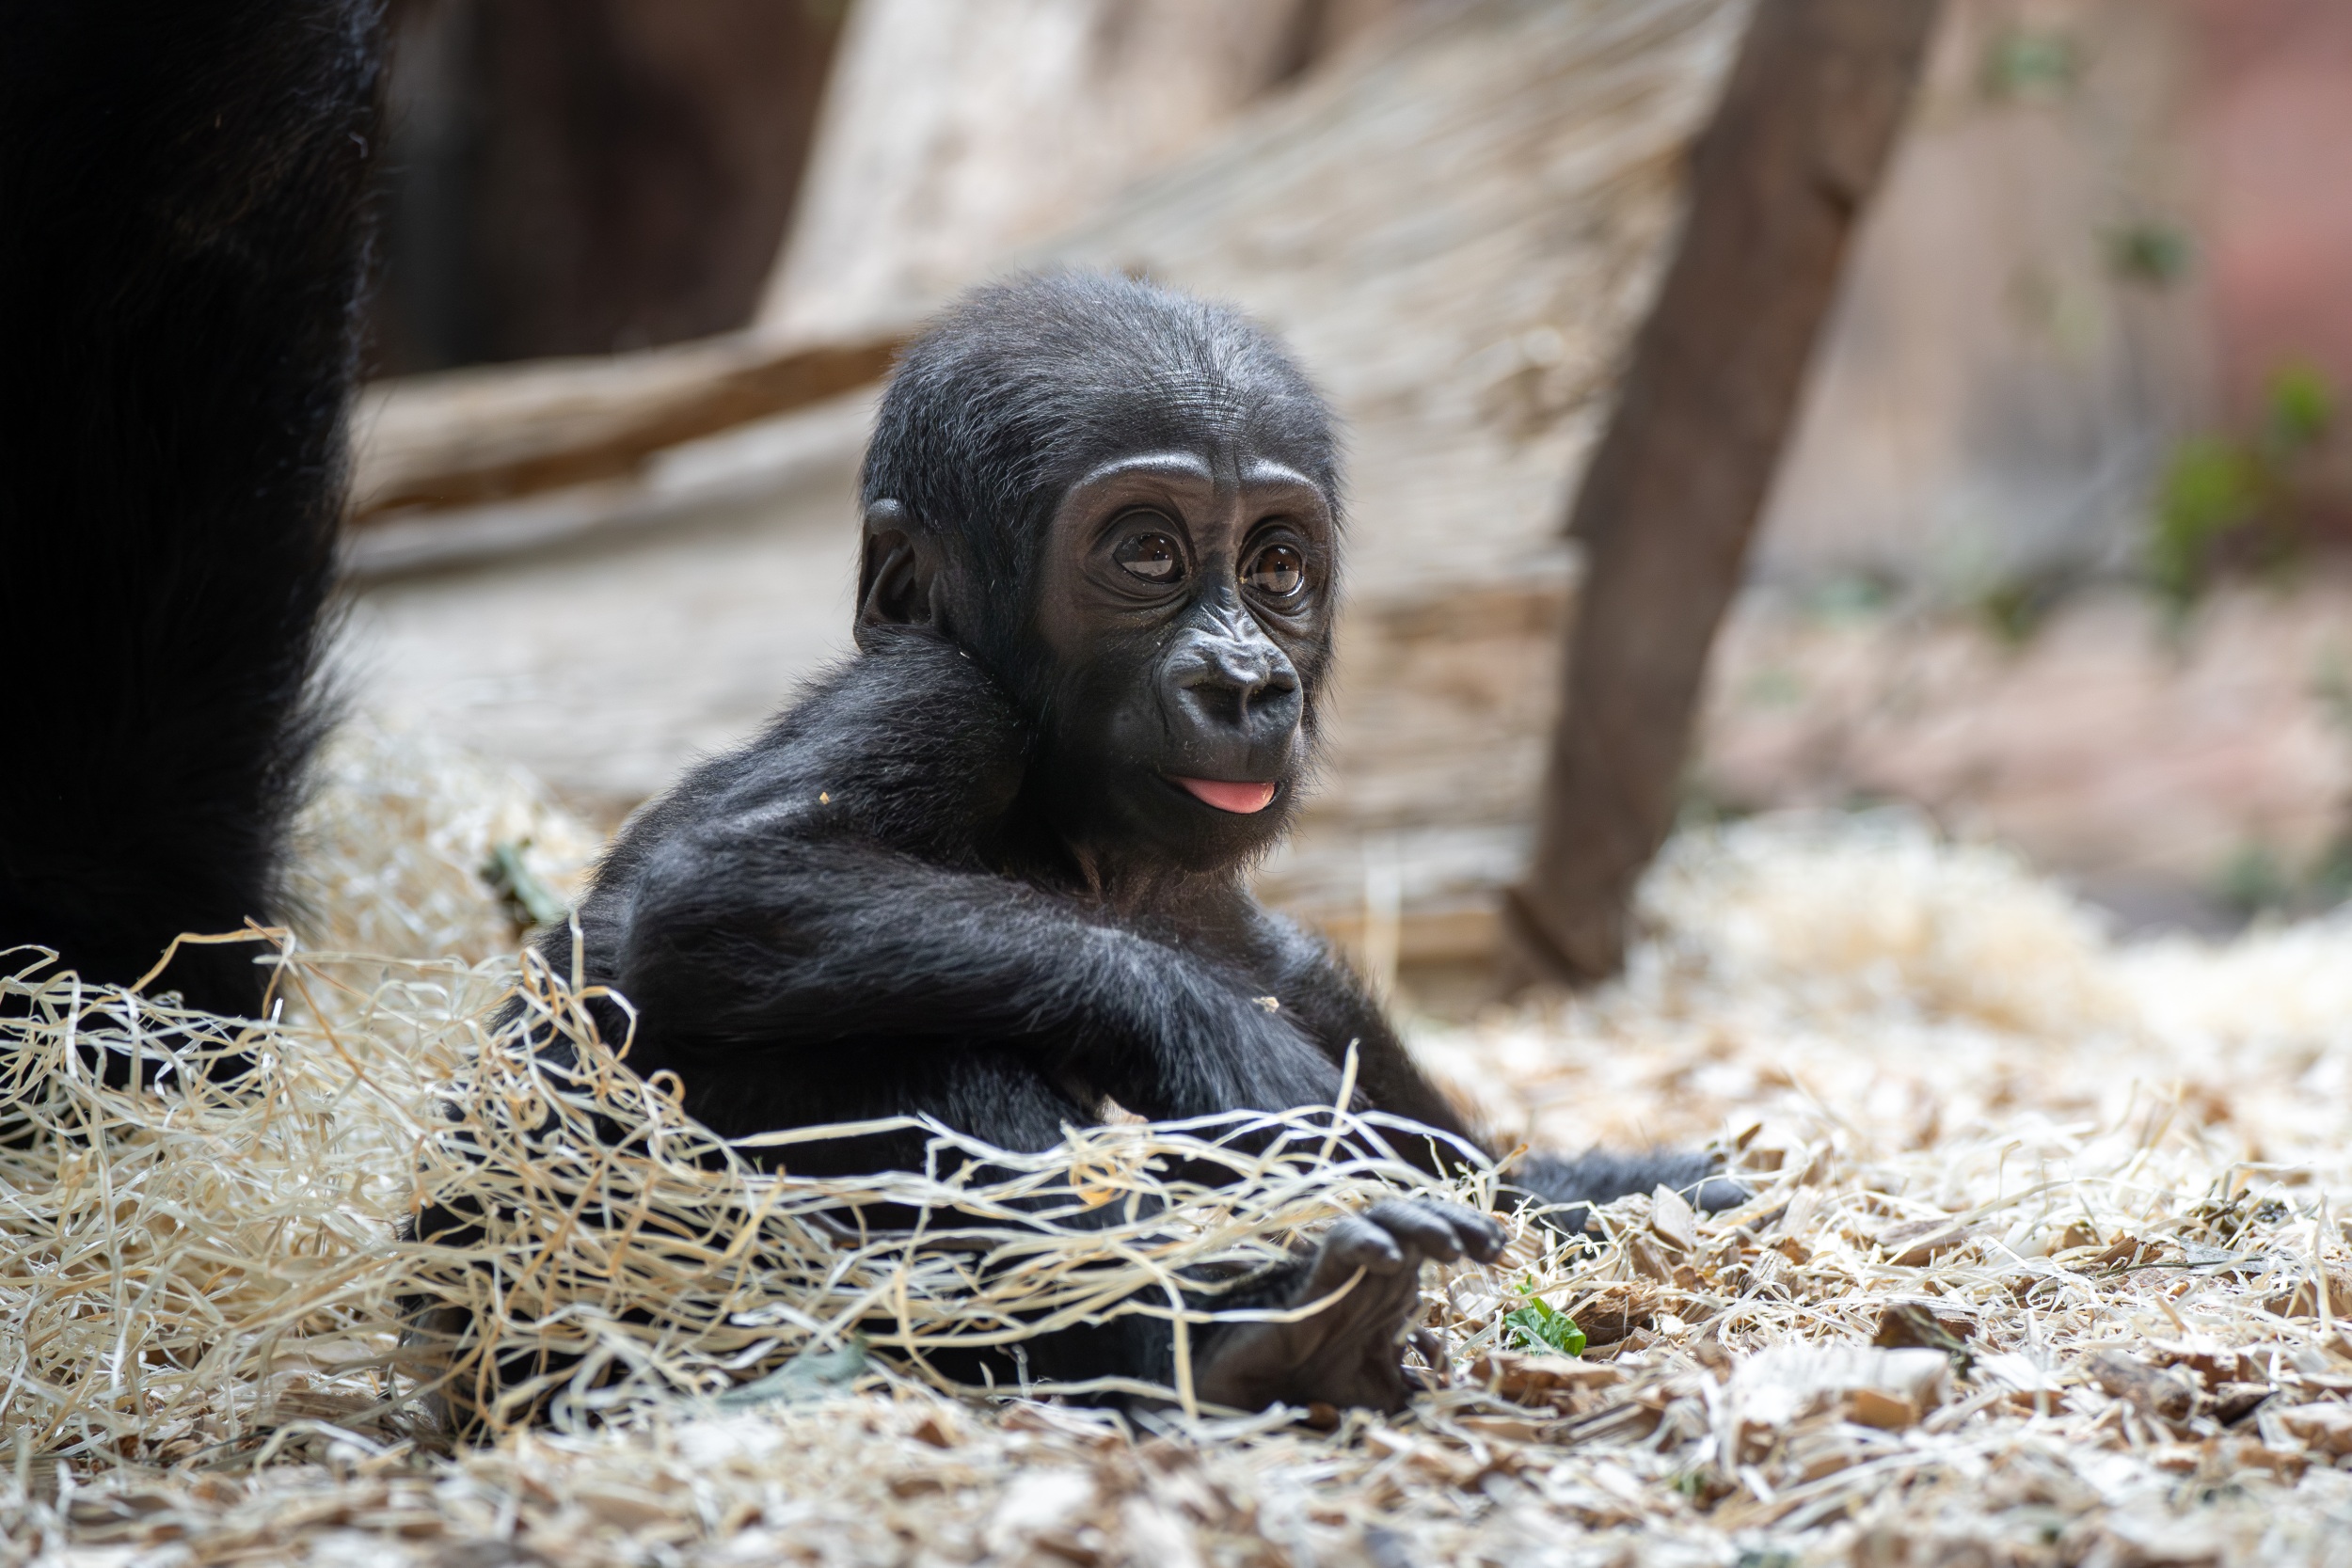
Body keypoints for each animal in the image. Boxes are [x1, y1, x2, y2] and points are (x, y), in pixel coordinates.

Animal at [546, 270, 1731, 1410]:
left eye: (1276, 566)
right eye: (1148, 553)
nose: (1243, 682)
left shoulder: (1230, 918)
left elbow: (1370, 1053)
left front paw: (1624, 1186)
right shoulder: (935, 699)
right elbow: (718, 883)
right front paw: (1229, 1052)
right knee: (907, 1044)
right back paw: (1233, 1342)